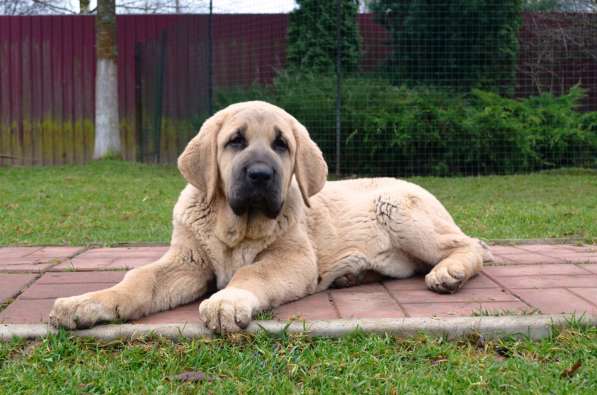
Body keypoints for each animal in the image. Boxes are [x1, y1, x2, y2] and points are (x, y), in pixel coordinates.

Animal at [50, 100, 488, 332]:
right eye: (235, 141)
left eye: (281, 145)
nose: (260, 175)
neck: (237, 228)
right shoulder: (187, 262)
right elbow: (138, 280)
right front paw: (86, 303)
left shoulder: (291, 257)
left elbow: (252, 273)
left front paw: (228, 301)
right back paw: (353, 275)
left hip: (400, 210)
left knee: (470, 245)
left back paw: (449, 273)